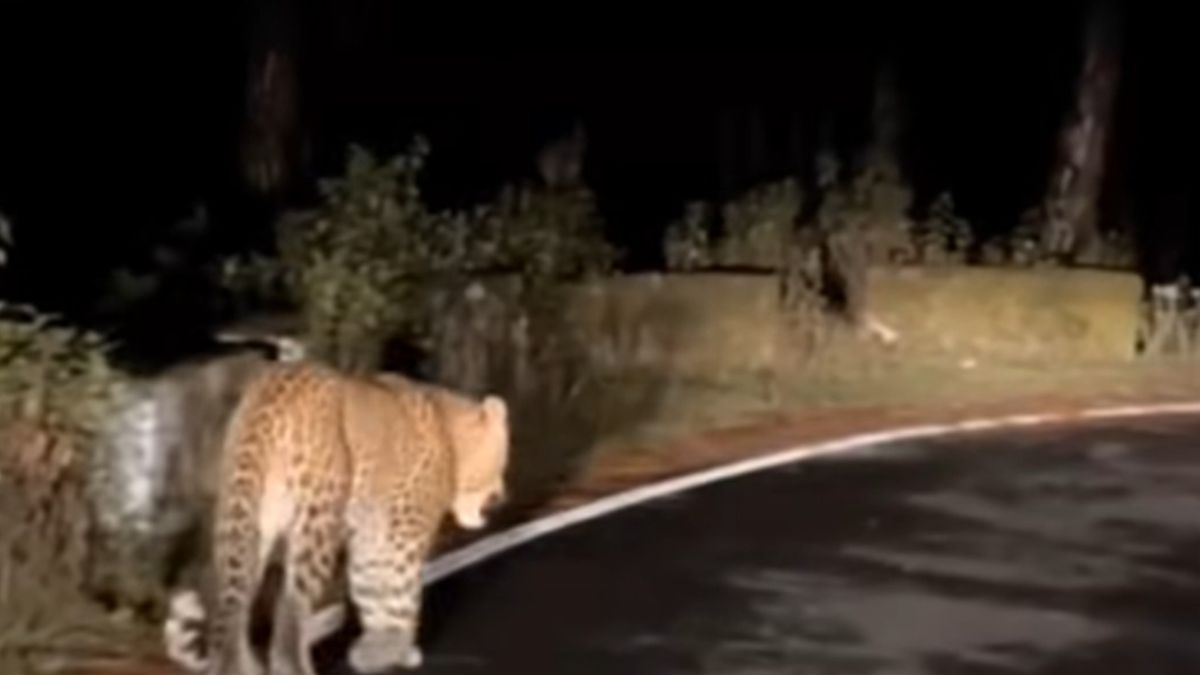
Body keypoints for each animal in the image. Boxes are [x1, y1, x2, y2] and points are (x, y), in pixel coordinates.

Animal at [198, 363, 509, 675]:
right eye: (502, 460)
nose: (501, 493)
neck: (450, 437)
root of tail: (276, 384)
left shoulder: (372, 538)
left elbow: (371, 589)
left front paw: (378, 650)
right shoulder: (402, 536)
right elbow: (399, 592)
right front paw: (396, 648)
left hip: (241, 518)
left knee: (231, 605)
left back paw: (238, 664)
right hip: (318, 518)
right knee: (290, 606)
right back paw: (292, 665)